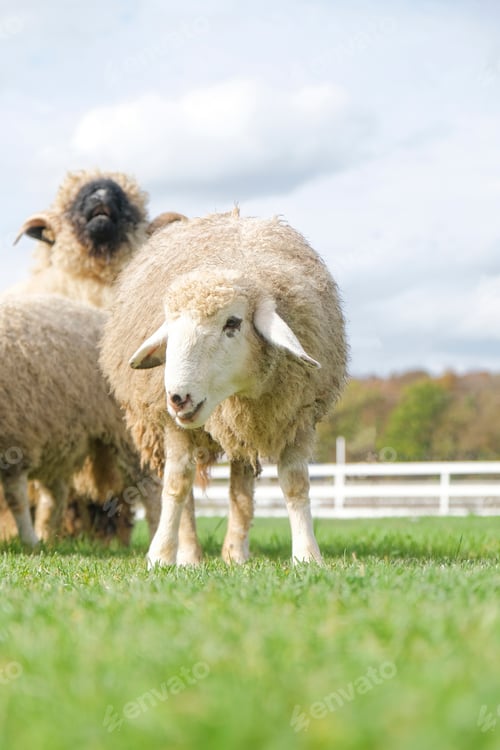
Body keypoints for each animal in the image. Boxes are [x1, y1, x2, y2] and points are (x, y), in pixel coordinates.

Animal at [0, 294, 160, 546]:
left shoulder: (14, 439)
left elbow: (15, 498)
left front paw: (28, 541)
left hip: (126, 432)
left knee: (150, 486)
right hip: (59, 438)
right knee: (56, 495)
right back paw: (48, 537)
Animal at [99, 209, 348, 566]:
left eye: (232, 323)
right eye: (171, 327)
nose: (178, 398)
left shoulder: (297, 414)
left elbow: (295, 485)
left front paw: (307, 555)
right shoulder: (172, 425)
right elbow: (176, 485)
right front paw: (161, 555)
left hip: (240, 428)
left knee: (239, 488)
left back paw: (235, 554)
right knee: (187, 491)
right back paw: (189, 555)